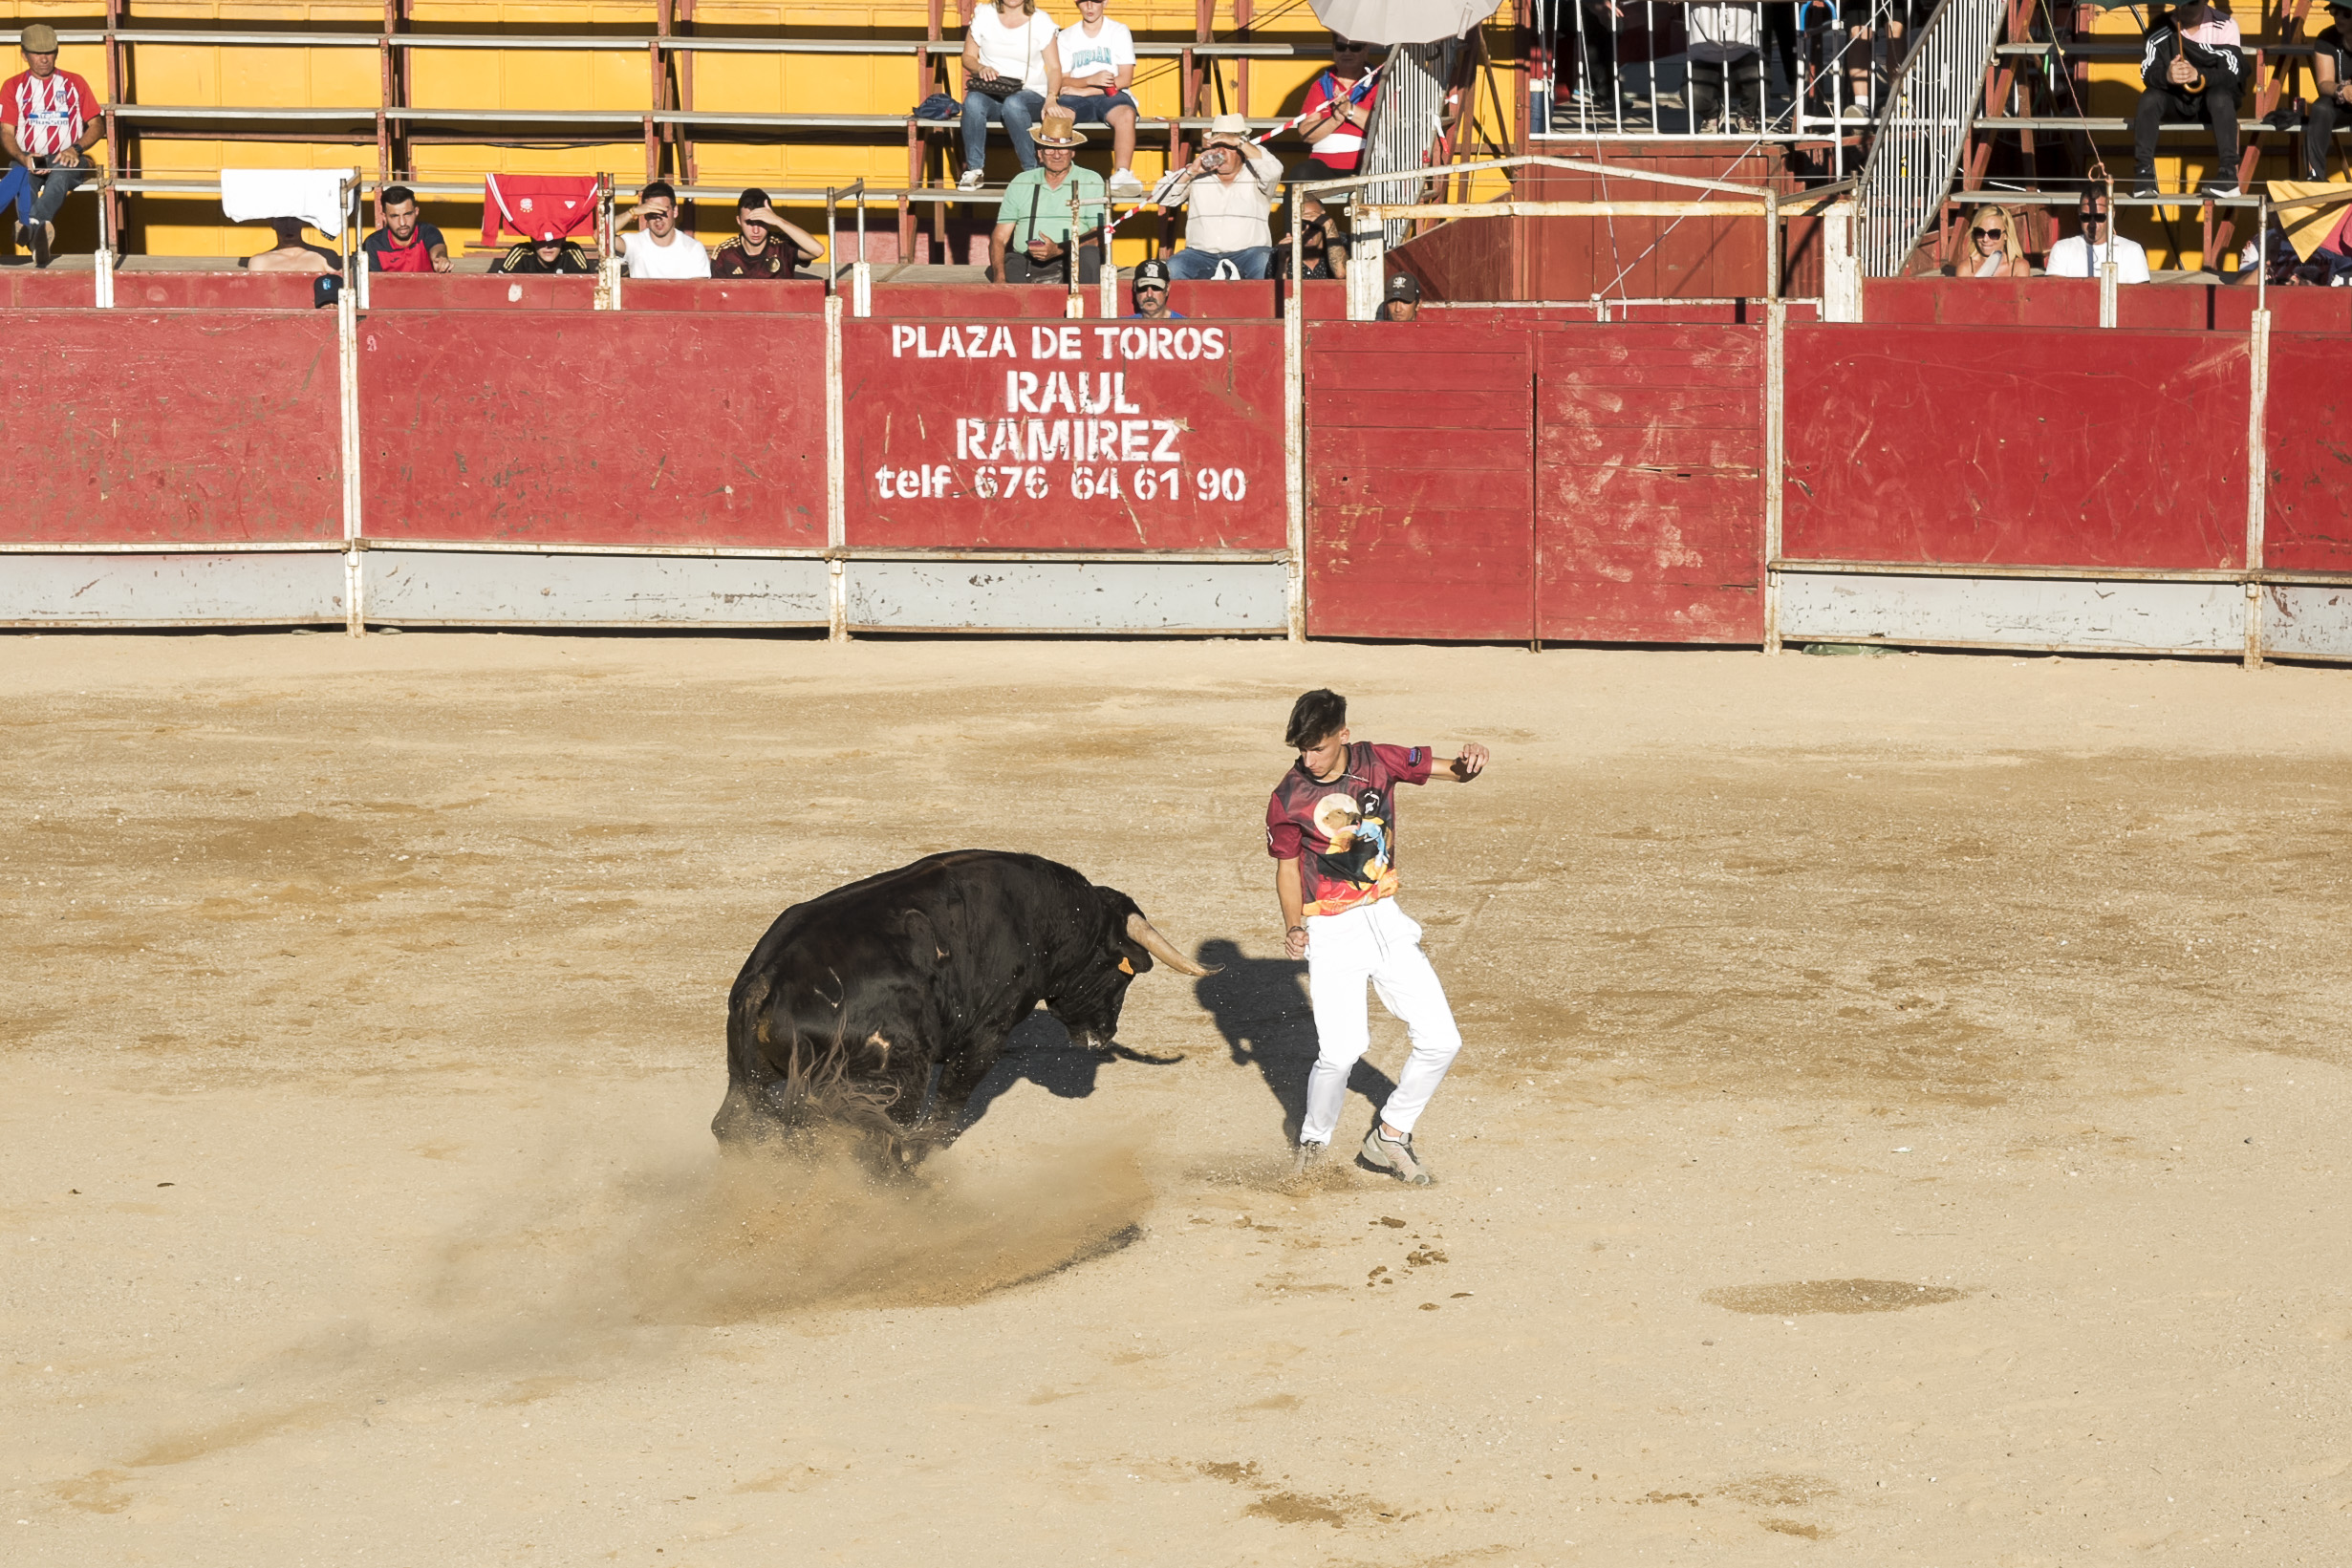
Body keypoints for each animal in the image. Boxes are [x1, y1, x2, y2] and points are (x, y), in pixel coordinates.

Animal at [705, 860, 1204, 1151]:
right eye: (1124, 972)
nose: (1105, 1035)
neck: (1044, 920)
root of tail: (766, 981)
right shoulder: (986, 1036)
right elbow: (946, 1111)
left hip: (747, 1081)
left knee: (734, 1127)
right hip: (893, 1083)